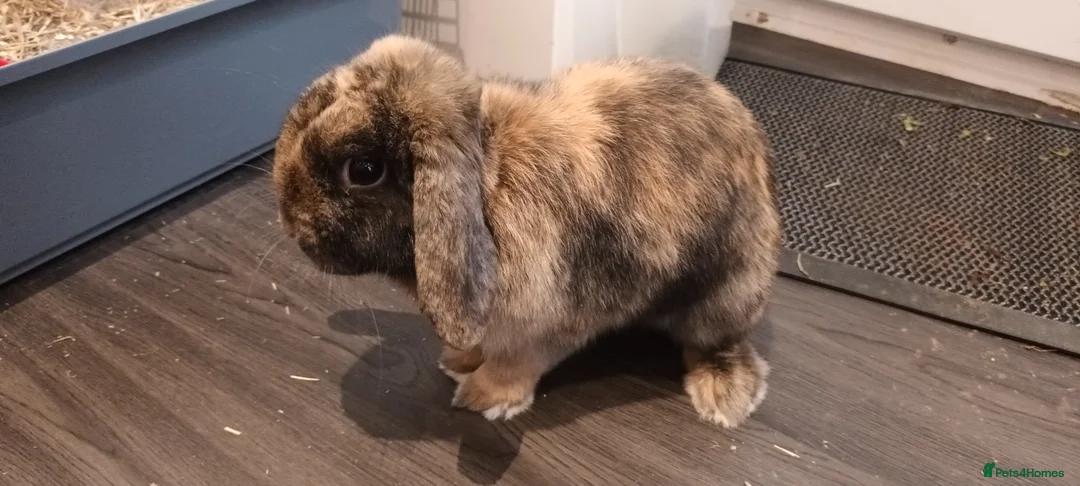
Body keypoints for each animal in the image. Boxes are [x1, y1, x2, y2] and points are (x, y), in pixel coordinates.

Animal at [273, 35, 782, 428]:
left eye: (363, 170)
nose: (288, 219)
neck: (488, 183)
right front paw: (457, 363)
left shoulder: (545, 326)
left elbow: (514, 364)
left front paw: (481, 398)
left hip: (722, 296)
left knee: (715, 342)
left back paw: (724, 398)